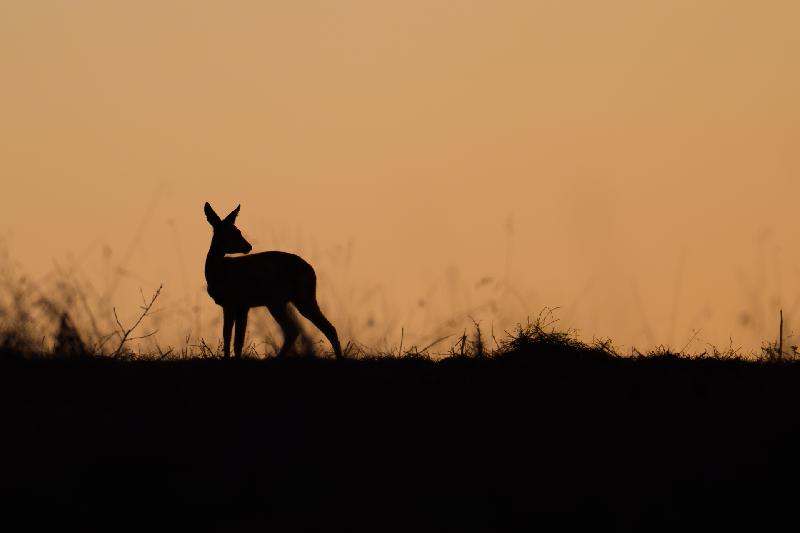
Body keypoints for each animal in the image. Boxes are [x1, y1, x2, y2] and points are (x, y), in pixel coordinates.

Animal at [203, 202, 343, 359]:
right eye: (234, 233)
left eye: (238, 231)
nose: (248, 246)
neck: (218, 272)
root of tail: (311, 271)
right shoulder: (234, 305)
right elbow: (228, 336)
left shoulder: (239, 303)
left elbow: (236, 339)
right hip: (293, 299)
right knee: (316, 328)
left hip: (284, 300)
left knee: (298, 329)